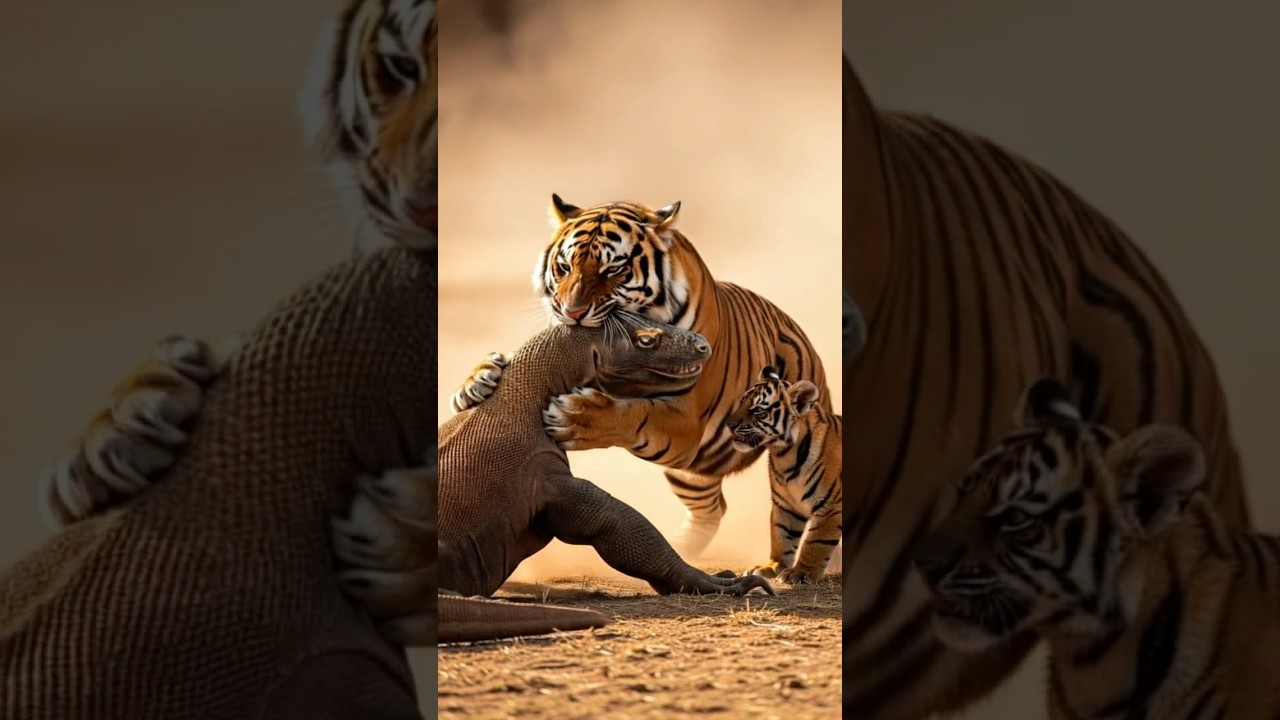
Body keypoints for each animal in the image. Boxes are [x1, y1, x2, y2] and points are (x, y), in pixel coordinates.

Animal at [446, 194, 835, 560]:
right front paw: (477, 381)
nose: (572, 312)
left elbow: (636, 413)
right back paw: (683, 547)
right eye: (564, 267)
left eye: (612, 269)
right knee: (713, 508)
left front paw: (576, 417)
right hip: (691, 476)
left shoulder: (686, 418)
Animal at [724, 366, 843, 585]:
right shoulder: (785, 504)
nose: (729, 424)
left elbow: (816, 542)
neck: (784, 455)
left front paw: (801, 572)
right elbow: (781, 536)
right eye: (741, 402)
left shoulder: (830, 506)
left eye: (758, 410)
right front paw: (770, 567)